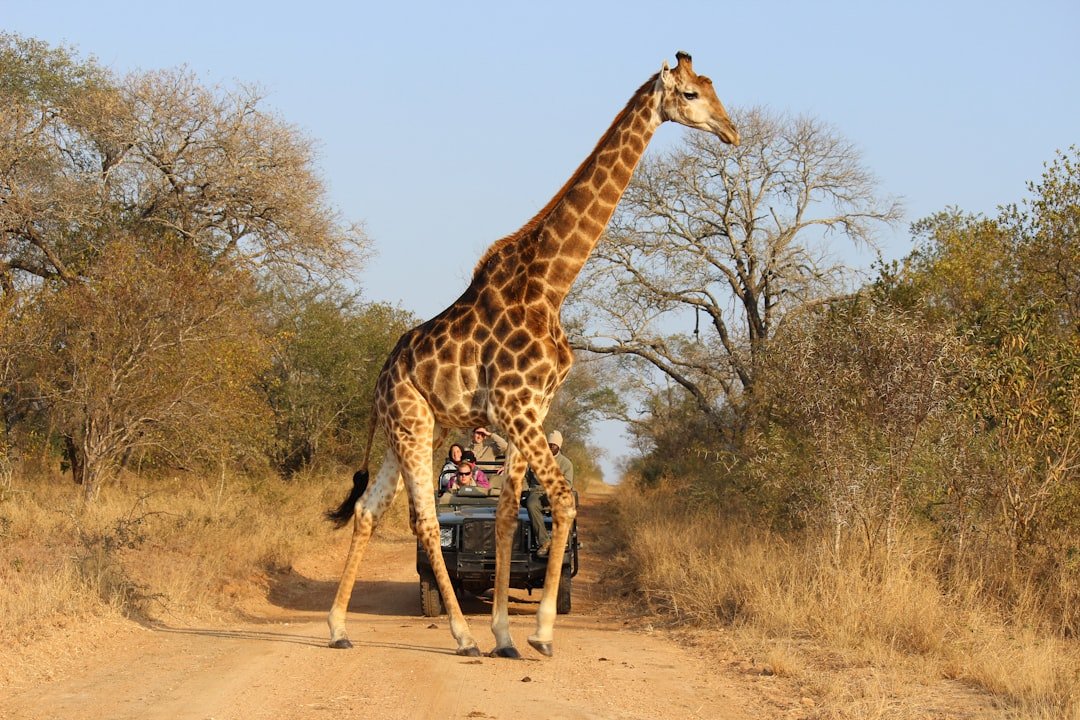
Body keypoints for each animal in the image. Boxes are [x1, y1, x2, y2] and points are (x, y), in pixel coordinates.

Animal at [325, 51, 738, 658]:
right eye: (689, 94)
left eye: (712, 88)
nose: (732, 131)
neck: (550, 285)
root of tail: (380, 380)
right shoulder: (517, 407)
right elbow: (562, 499)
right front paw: (538, 632)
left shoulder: (531, 408)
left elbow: (504, 513)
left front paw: (505, 634)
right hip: (412, 423)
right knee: (425, 522)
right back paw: (460, 636)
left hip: (414, 429)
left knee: (366, 510)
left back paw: (338, 628)